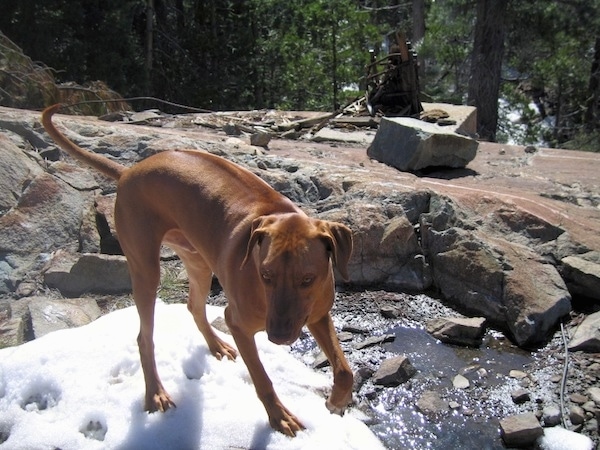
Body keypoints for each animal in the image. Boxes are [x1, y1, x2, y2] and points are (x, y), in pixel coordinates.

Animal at [42, 104, 354, 436]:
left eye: (307, 279)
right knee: (144, 337)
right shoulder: (238, 323)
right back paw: (155, 392)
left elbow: (344, 370)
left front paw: (336, 401)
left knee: (194, 306)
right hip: (146, 269)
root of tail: (128, 171)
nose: (278, 337)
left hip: (199, 261)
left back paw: (216, 344)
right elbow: (262, 378)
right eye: (265, 275)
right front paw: (278, 415)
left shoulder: (318, 314)